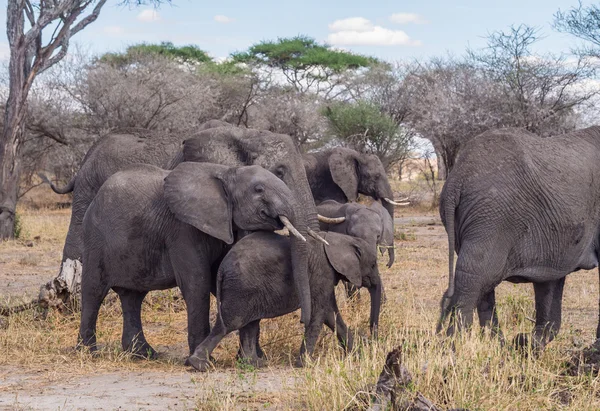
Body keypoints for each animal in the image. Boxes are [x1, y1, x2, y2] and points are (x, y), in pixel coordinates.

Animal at [188, 232, 380, 374]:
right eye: (373, 264)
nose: (373, 339)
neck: (339, 239)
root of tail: (222, 268)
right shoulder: (322, 272)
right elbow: (319, 312)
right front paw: (305, 364)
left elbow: (330, 314)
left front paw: (359, 354)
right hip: (242, 288)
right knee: (229, 323)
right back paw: (199, 364)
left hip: (247, 290)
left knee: (249, 323)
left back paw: (254, 364)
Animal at [436, 126, 600, 350]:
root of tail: (457, 179)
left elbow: (549, 282)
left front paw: (528, 342)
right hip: (491, 217)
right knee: (474, 276)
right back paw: (456, 347)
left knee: (482, 284)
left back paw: (498, 345)